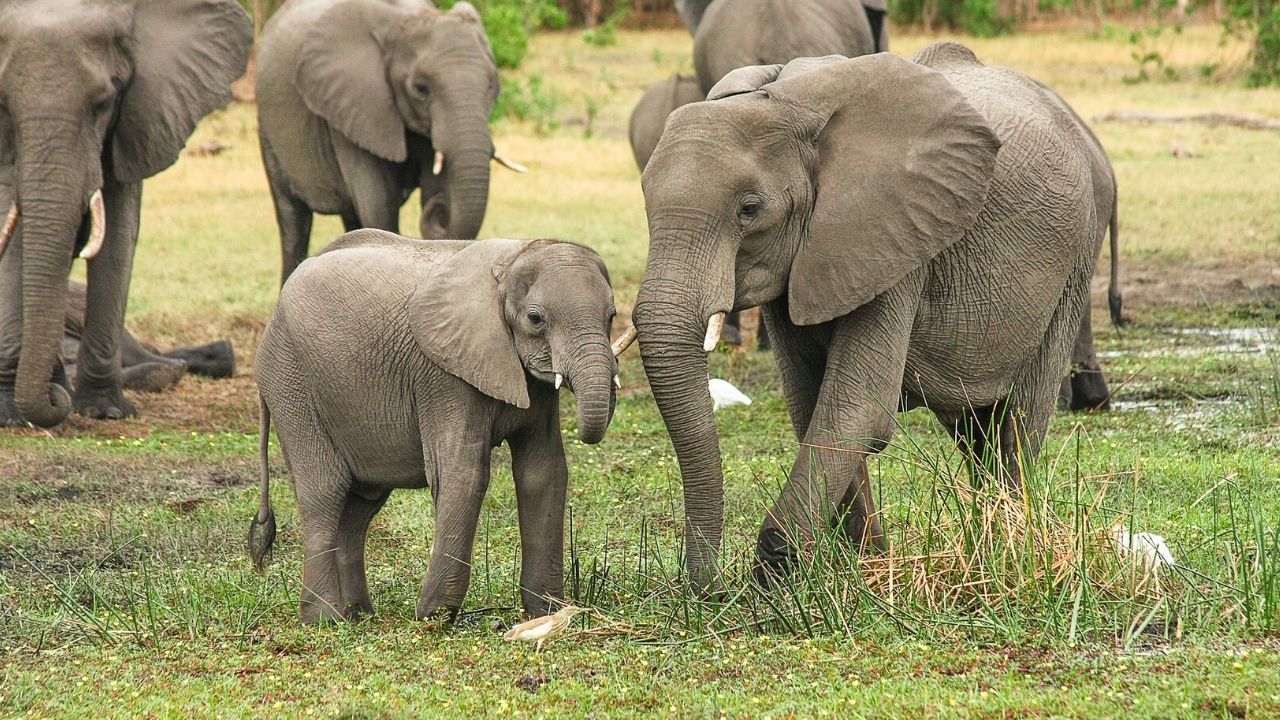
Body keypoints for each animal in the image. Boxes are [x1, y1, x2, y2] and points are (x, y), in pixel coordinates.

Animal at [248, 230, 626, 624]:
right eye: (535, 319)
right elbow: (463, 472)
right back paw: (325, 620)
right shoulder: (443, 375)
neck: (512, 260)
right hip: (291, 382)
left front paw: (547, 613)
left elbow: (544, 471)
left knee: (360, 504)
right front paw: (434, 617)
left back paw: (359, 615)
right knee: (324, 491)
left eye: (612, 315)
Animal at [257, 0, 525, 284]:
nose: (441, 209)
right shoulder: (356, 107)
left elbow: (430, 187)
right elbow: (378, 204)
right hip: (268, 129)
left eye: (492, 88)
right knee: (293, 220)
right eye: (420, 89)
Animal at [624, 43, 1106, 589]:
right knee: (973, 430)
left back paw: (1008, 548)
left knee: (1017, 421)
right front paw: (864, 567)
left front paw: (776, 576)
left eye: (749, 209)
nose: (706, 590)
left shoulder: (895, 238)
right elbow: (812, 404)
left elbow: (856, 409)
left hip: (1075, 260)